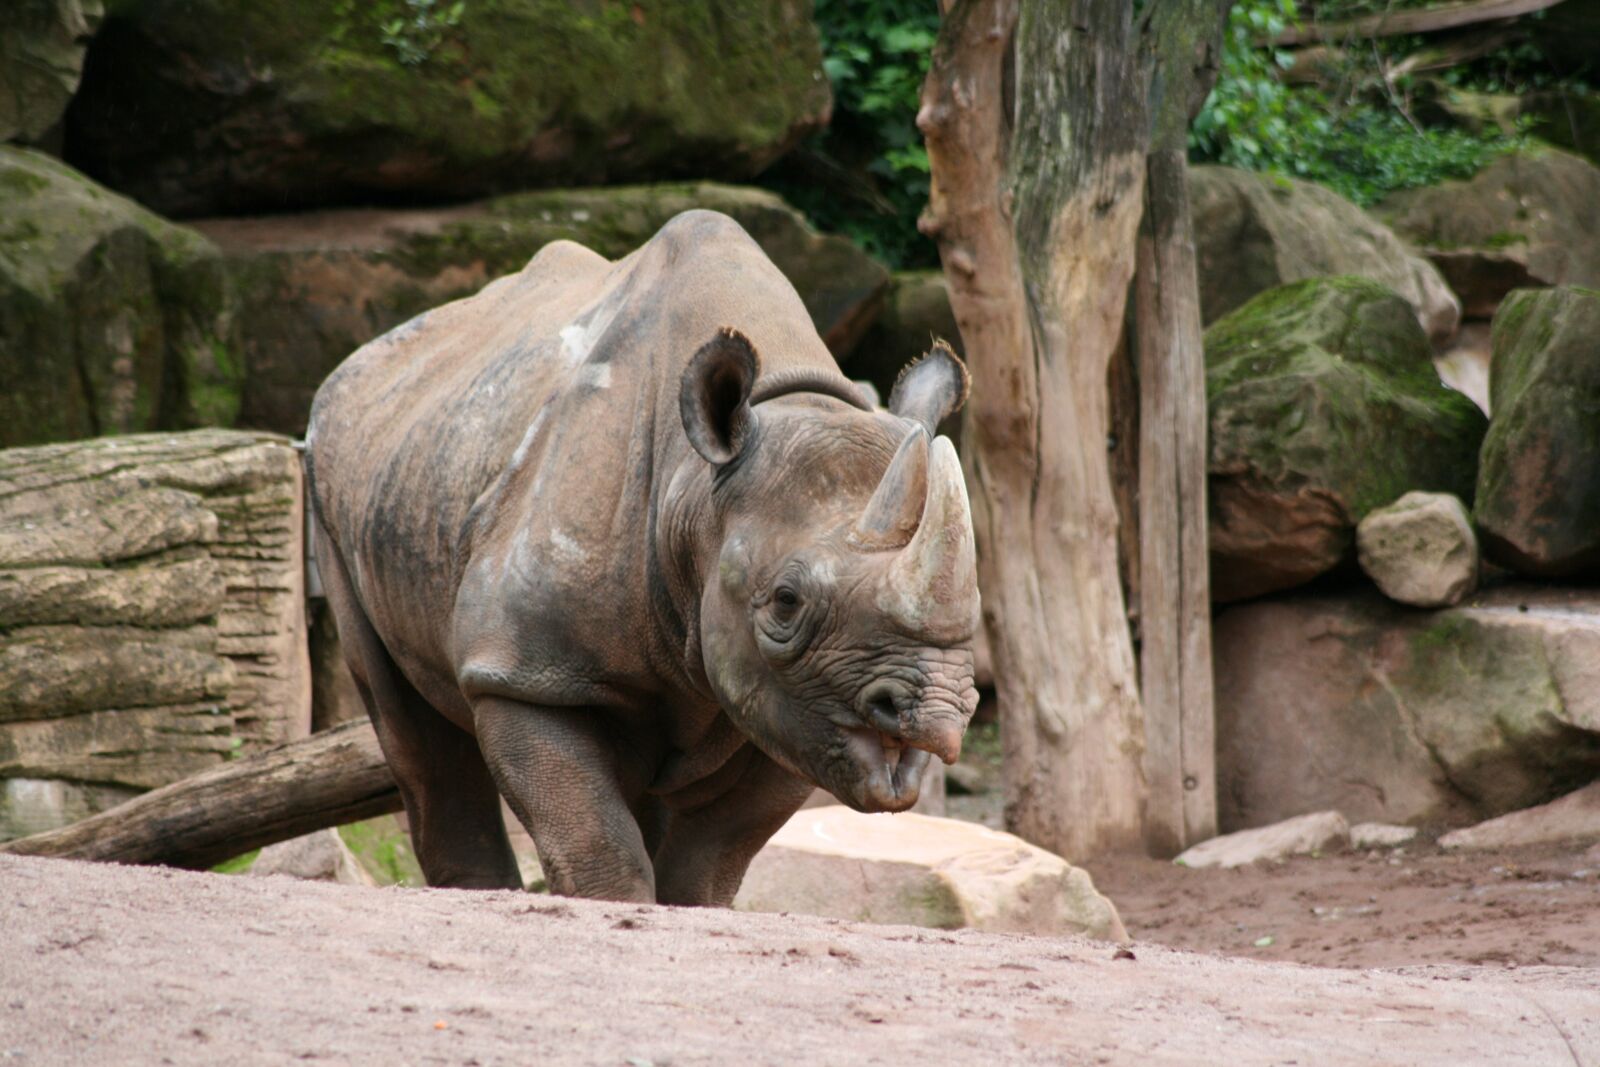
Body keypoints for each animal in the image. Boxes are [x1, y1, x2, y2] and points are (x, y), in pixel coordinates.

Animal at [306, 210, 980, 905]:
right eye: (786, 602)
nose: (937, 716)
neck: (698, 490)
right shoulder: (523, 672)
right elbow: (596, 840)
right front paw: (614, 902)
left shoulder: (798, 710)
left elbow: (713, 855)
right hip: (333, 473)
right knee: (411, 730)